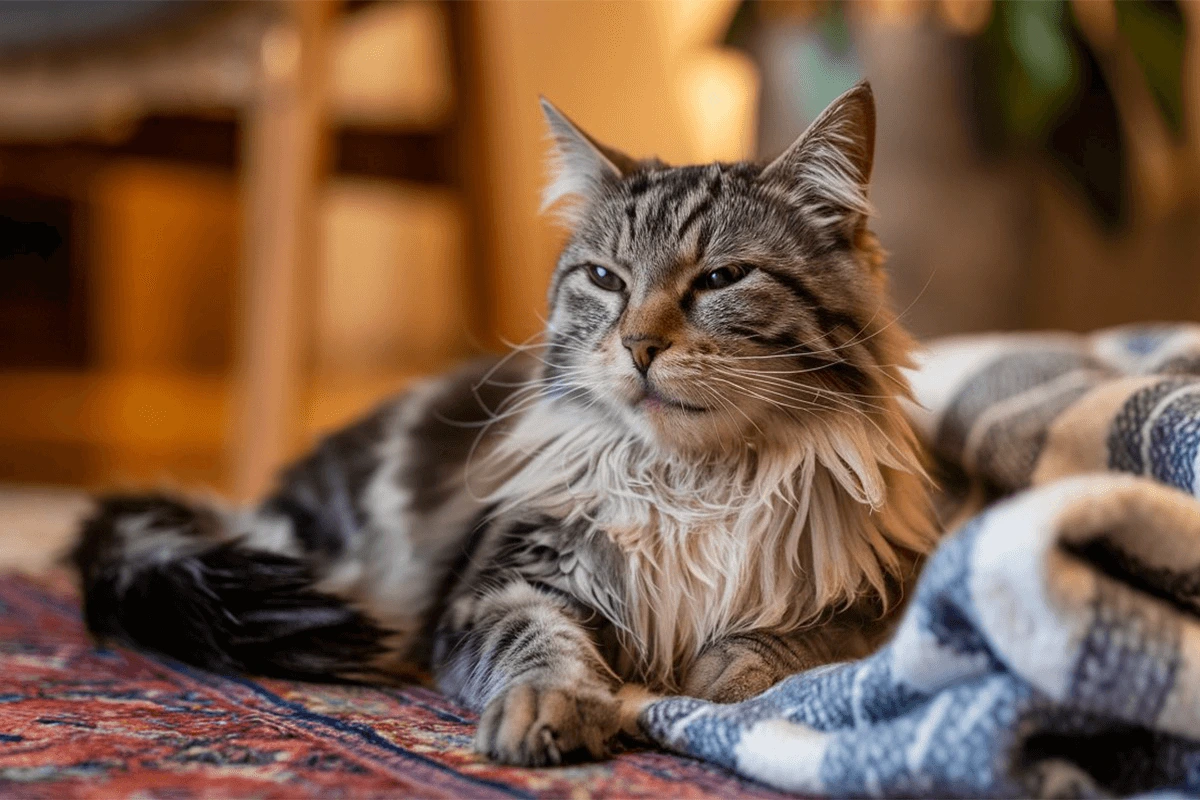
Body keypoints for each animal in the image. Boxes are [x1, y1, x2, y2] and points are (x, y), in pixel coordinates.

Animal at [72, 82, 936, 767]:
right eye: (605, 280)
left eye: (723, 277)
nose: (639, 345)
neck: (692, 481)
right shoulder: (506, 582)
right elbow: (544, 647)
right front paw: (552, 712)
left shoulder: (869, 602)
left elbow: (782, 647)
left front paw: (716, 689)